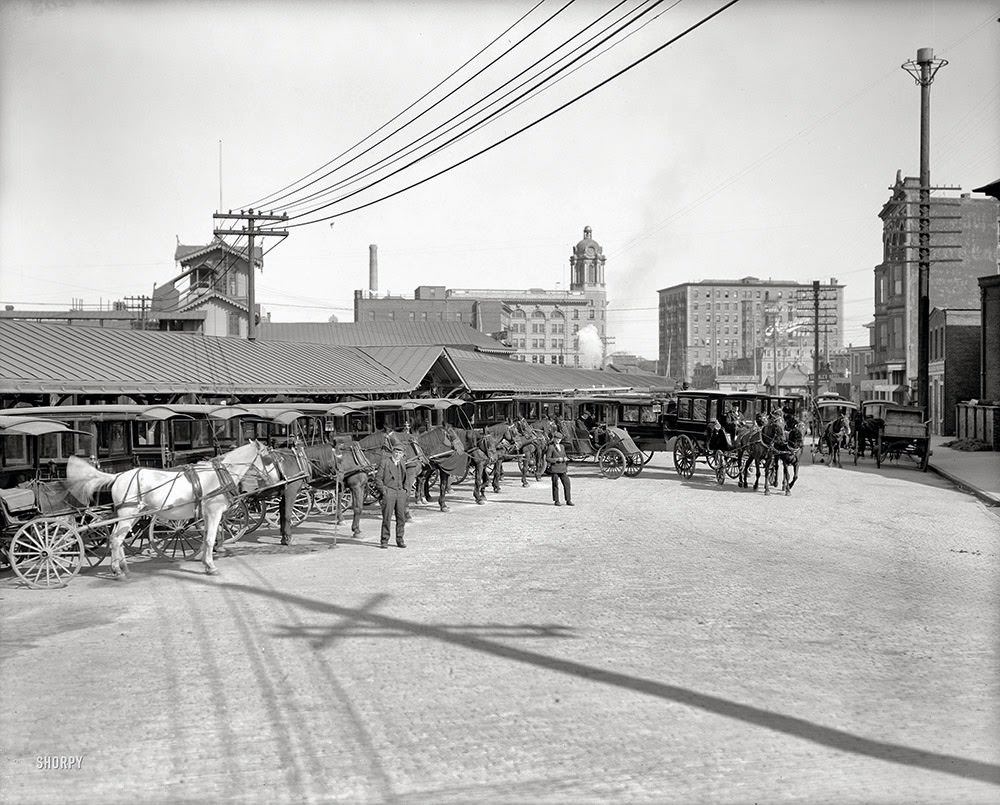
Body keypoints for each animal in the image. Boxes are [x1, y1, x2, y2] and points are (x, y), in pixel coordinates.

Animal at [67, 440, 278, 576]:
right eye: (268, 458)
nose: (277, 478)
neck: (218, 474)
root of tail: (118, 476)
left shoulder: (207, 514)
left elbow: (207, 538)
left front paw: (206, 562)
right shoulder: (214, 512)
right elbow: (210, 539)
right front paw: (211, 566)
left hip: (133, 514)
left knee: (117, 538)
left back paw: (123, 567)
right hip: (128, 513)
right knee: (116, 539)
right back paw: (117, 570)